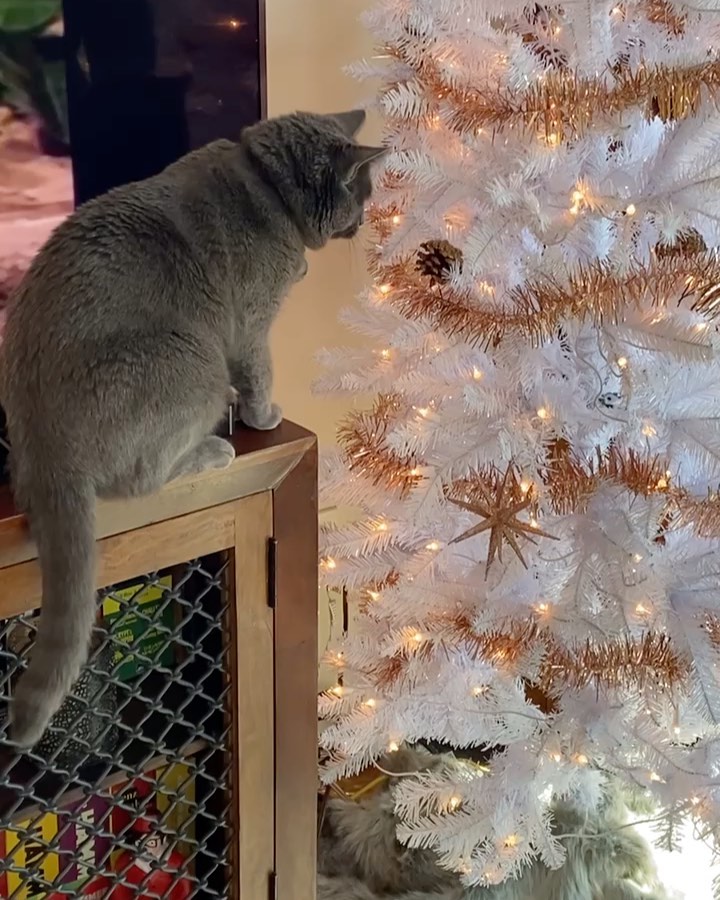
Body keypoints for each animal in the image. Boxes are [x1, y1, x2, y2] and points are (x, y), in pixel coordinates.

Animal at [1, 109, 388, 748]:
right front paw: (263, 415)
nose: (362, 221)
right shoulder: (251, 321)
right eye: (363, 192)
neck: (266, 187)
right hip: (194, 357)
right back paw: (215, 447)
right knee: (141, 478)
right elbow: (259, 368)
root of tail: (40, 445)